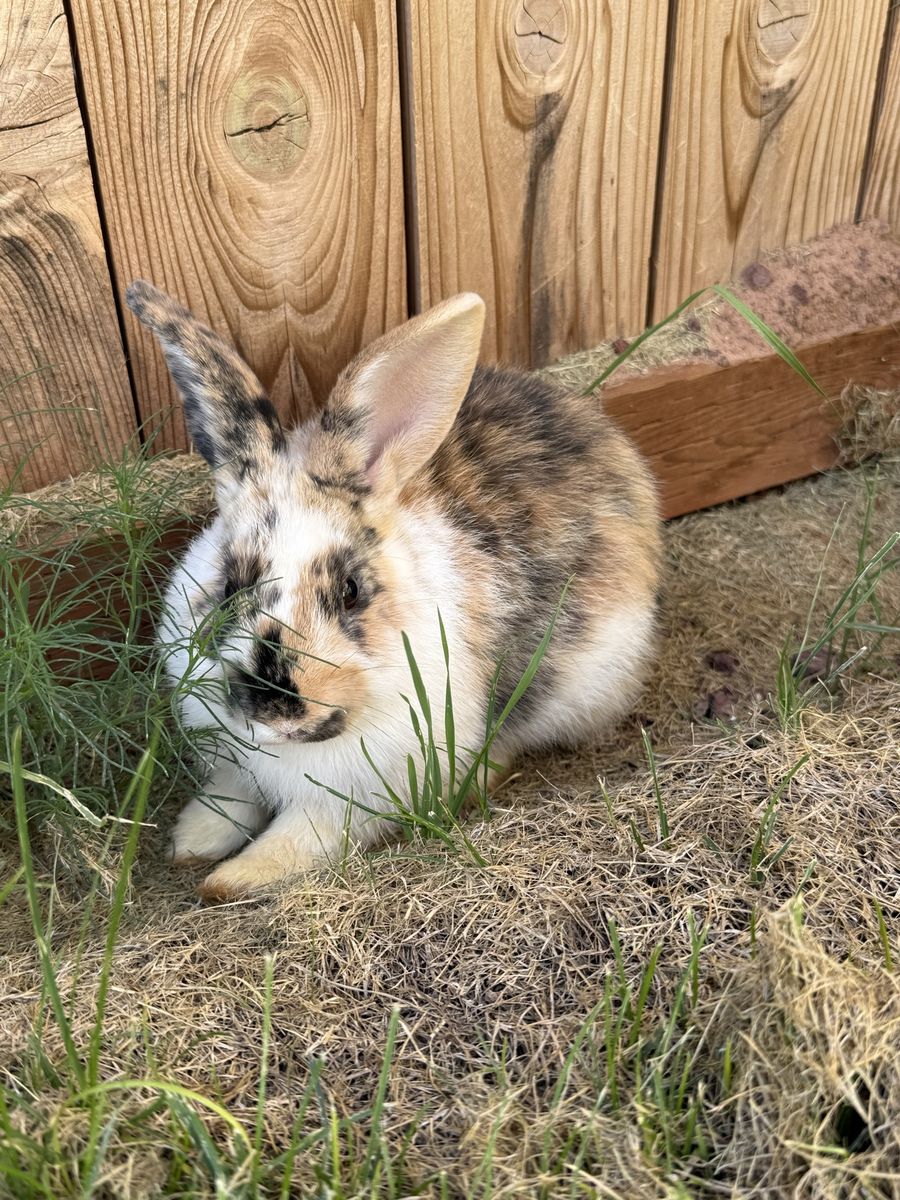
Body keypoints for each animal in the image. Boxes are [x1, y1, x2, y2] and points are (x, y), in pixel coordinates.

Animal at [126, 281, 662, 900]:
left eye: (352, 590)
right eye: (230, 585)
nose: (275, 709)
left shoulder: (355, 796)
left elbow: (300, 836)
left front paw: (229, 880)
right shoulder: (234, 763)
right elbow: (229, 797)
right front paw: (192, 843)